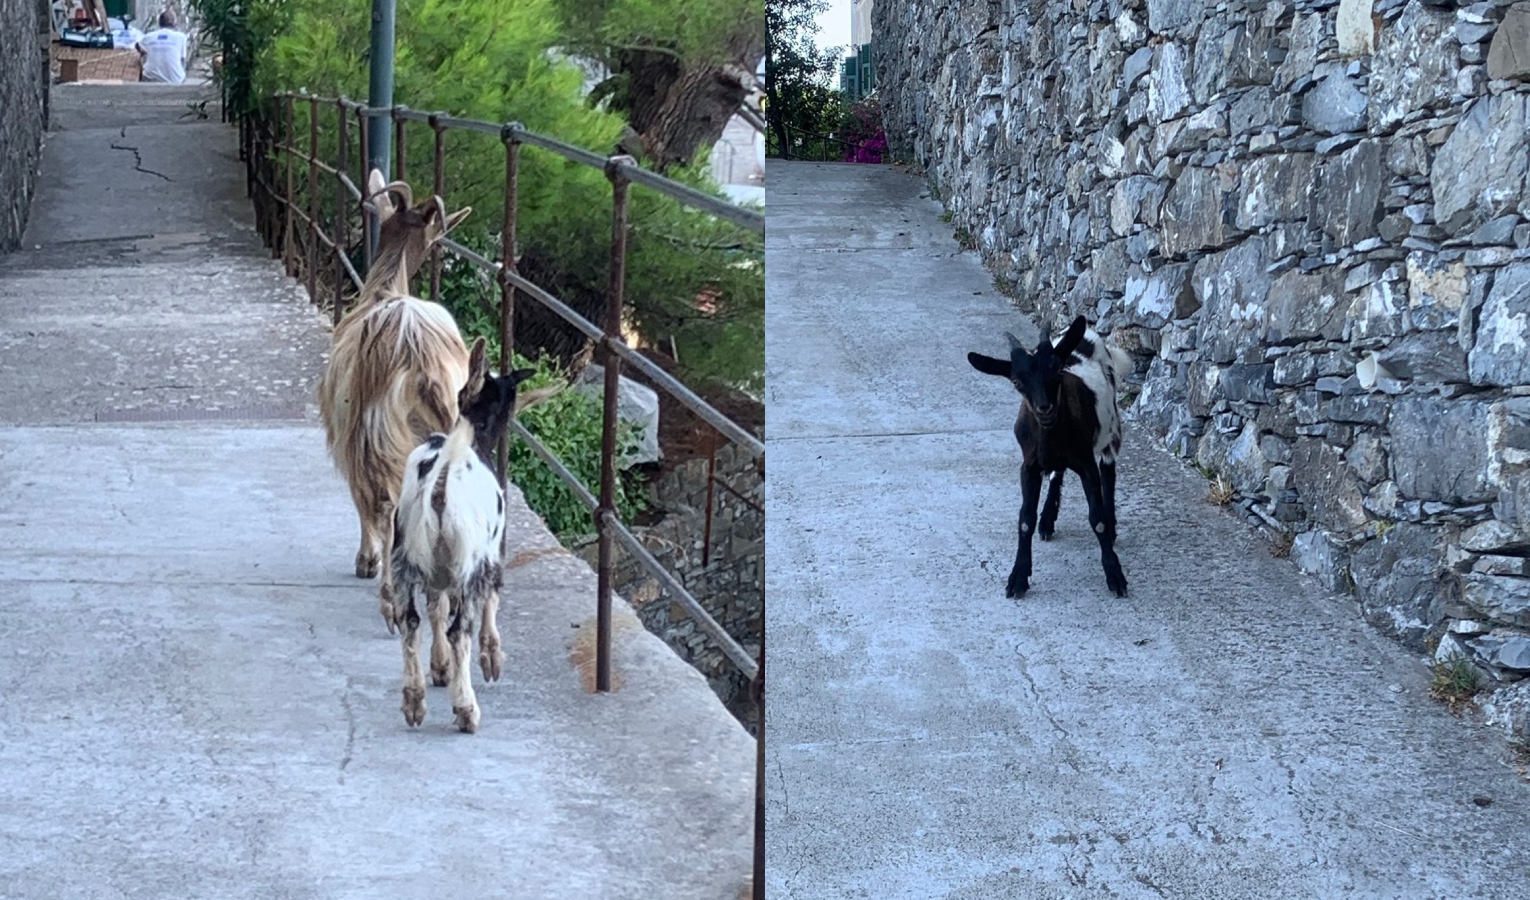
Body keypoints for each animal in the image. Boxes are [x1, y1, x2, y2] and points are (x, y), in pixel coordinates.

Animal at [324, 168, 477, 633]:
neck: (384, 286)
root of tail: (421, 365)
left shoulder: (348, 436)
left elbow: (364, 499)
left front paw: (366, 561)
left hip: (383, 436)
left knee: (390, 505)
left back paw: (393, 599)